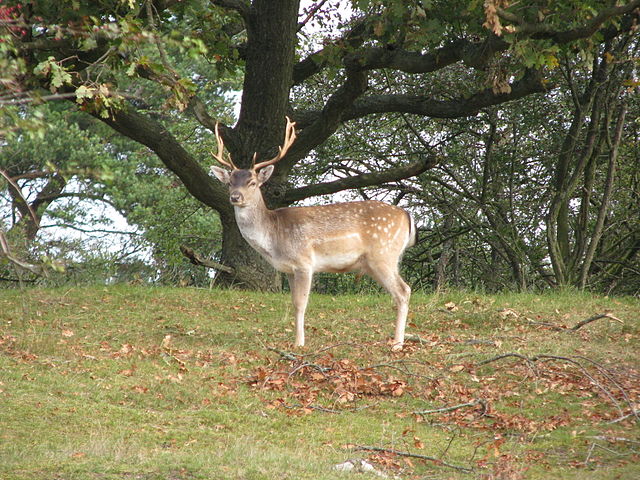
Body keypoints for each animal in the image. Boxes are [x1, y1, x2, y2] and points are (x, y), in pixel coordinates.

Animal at [210, 118, 418, 350]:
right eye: (229, 182)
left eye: (252, 182)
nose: (235, 197)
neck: (274, 237)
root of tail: (407, 215)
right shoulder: (289, 270)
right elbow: (293, 303)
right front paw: (296, 340)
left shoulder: (304, 262)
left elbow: (301, 303)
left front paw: (299, 344)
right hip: (377, 262)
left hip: (383, 254)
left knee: (403, 291)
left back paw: (397, 344)